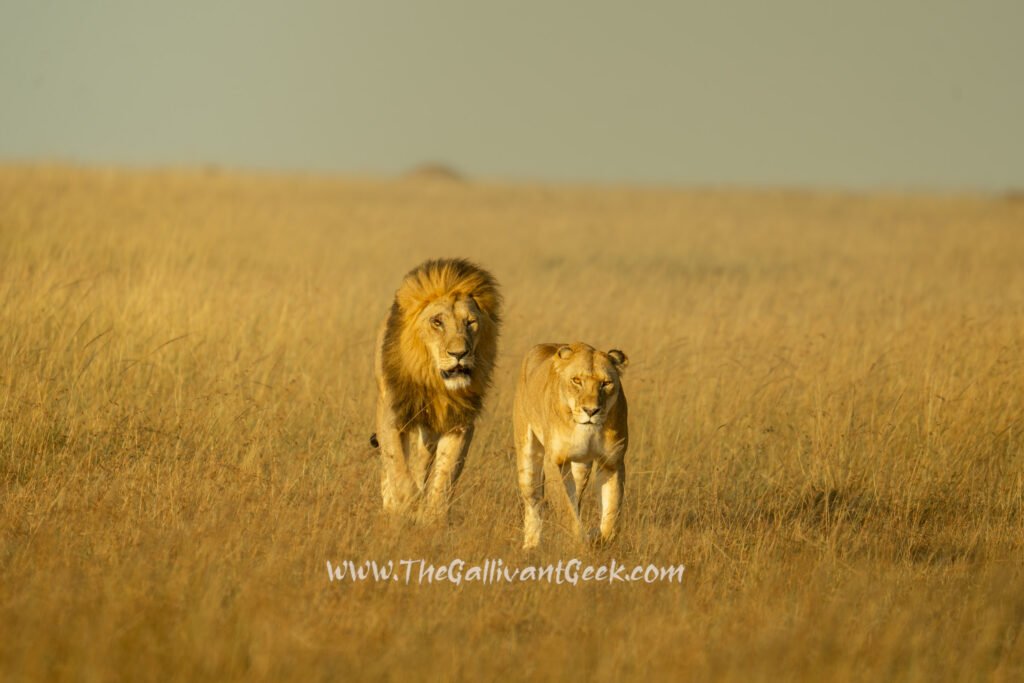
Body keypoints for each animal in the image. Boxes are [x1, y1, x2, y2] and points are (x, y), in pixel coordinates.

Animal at [370, 258, 502, 522]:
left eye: (470, 322)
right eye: (437, 322)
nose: (459, 354)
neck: (435, 384)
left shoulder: (459, 423)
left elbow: (445, 475)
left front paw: (431, 519)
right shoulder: (391, 413)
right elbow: (397, 465)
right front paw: (403, 506)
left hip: (428, 433)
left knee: (421, 464)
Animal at [513, 342, 629, 549]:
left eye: (606, 383)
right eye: (576, 381)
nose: (591, 411)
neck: (588, 430)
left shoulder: (612, 462)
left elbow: (612, 512)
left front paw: (598, 538)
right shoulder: (554, 461)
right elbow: (566, 508)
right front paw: (580, 541)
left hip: (581, 469)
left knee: (577, 496)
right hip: (528, 456)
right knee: (533, 500)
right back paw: (531, 546)